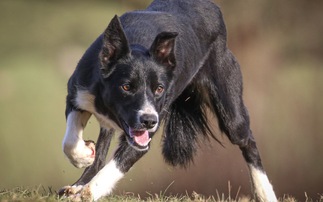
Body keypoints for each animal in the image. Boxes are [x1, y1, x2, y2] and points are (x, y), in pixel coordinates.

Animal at [59, 0, 278, 201]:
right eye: (126, 87)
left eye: (159, 89)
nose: (149, 121)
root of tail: (211, 6)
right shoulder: (77, 93)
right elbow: (70, 142)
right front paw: (85, 155)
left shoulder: (144, 134)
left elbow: (119, 162)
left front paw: (87, 192)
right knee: (100, 154)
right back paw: (77, 183)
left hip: (230, 109)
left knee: (248, 140)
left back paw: (265, 193)